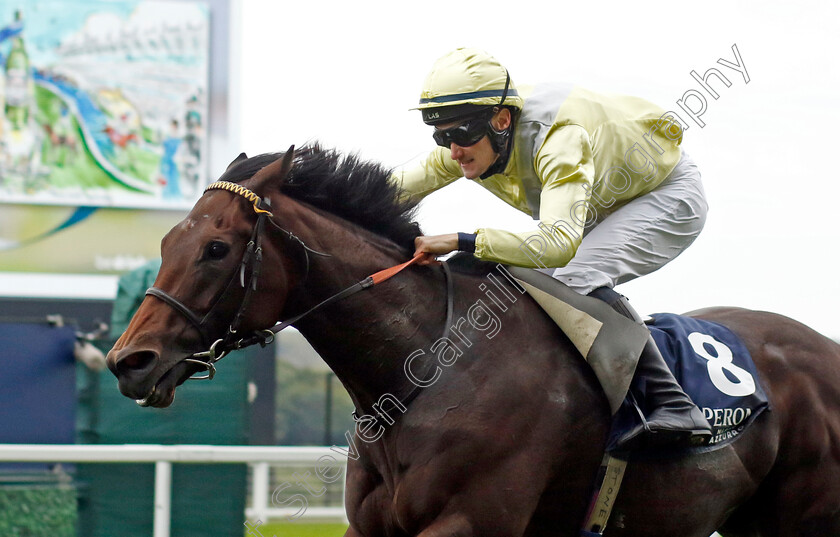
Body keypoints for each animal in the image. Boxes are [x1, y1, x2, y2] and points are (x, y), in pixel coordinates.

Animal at [106, 147, 840, 536]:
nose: (127, 361)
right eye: (167, 242)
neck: (422, 370)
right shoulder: (371, 526)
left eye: (216, 248)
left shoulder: (468, 522)